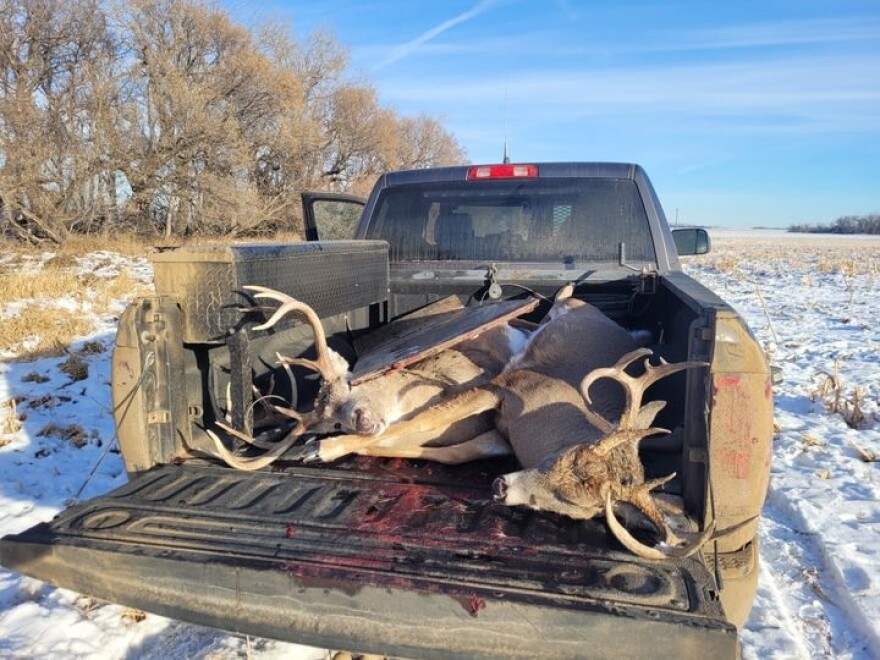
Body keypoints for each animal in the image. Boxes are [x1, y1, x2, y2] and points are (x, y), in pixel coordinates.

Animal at [307, 285, 739, 559]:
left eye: (576, 510)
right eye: (568, 458)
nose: (501, 487)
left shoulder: (499, 435)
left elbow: (442, 450)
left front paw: (344, 447)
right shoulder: (503, 386)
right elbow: (413, 423)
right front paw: (325, 447)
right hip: (567, 309)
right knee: (559, 298)